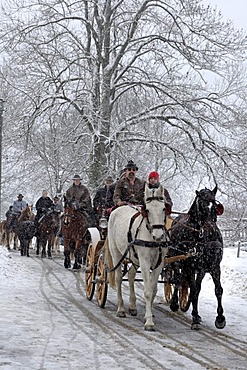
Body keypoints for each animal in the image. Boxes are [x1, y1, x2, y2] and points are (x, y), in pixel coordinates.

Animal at [107, 184, 169, 330]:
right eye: (147, 210)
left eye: (164, 208)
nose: (158, 235)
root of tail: (119, 208)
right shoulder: (145, 261)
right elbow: (147, 291)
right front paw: (149, 322)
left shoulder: (159, 263)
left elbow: (153, 290)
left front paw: (148, 315)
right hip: (116, 253)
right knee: (118, 278)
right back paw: (121, 309)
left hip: (135, 258)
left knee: (130, 275)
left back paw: (132, 306)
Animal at [168, 185, 226, 330]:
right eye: (203, 204)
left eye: (215, 206)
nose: (209, 226)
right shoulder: (189, 266)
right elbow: (193, 290)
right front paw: (194, 318)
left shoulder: (214, 267)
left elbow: (218, 290)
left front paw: (220, 318)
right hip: (176, 260)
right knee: (177, 279)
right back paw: (174, 303)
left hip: (200, 270)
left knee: (189, 284)